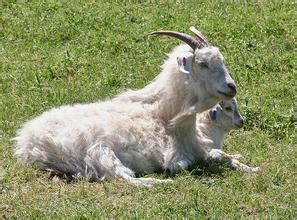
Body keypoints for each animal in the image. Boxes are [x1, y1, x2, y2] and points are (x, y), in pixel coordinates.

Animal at [14, 26, 240, 186]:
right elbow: (184, 164)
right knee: (125, 177)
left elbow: (222, 155)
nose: (232, 87)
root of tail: (27, 142)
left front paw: (238, 161)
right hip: (99, 152)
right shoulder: (174, 157)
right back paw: (158, 183)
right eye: (202, 64)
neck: (163, 115)